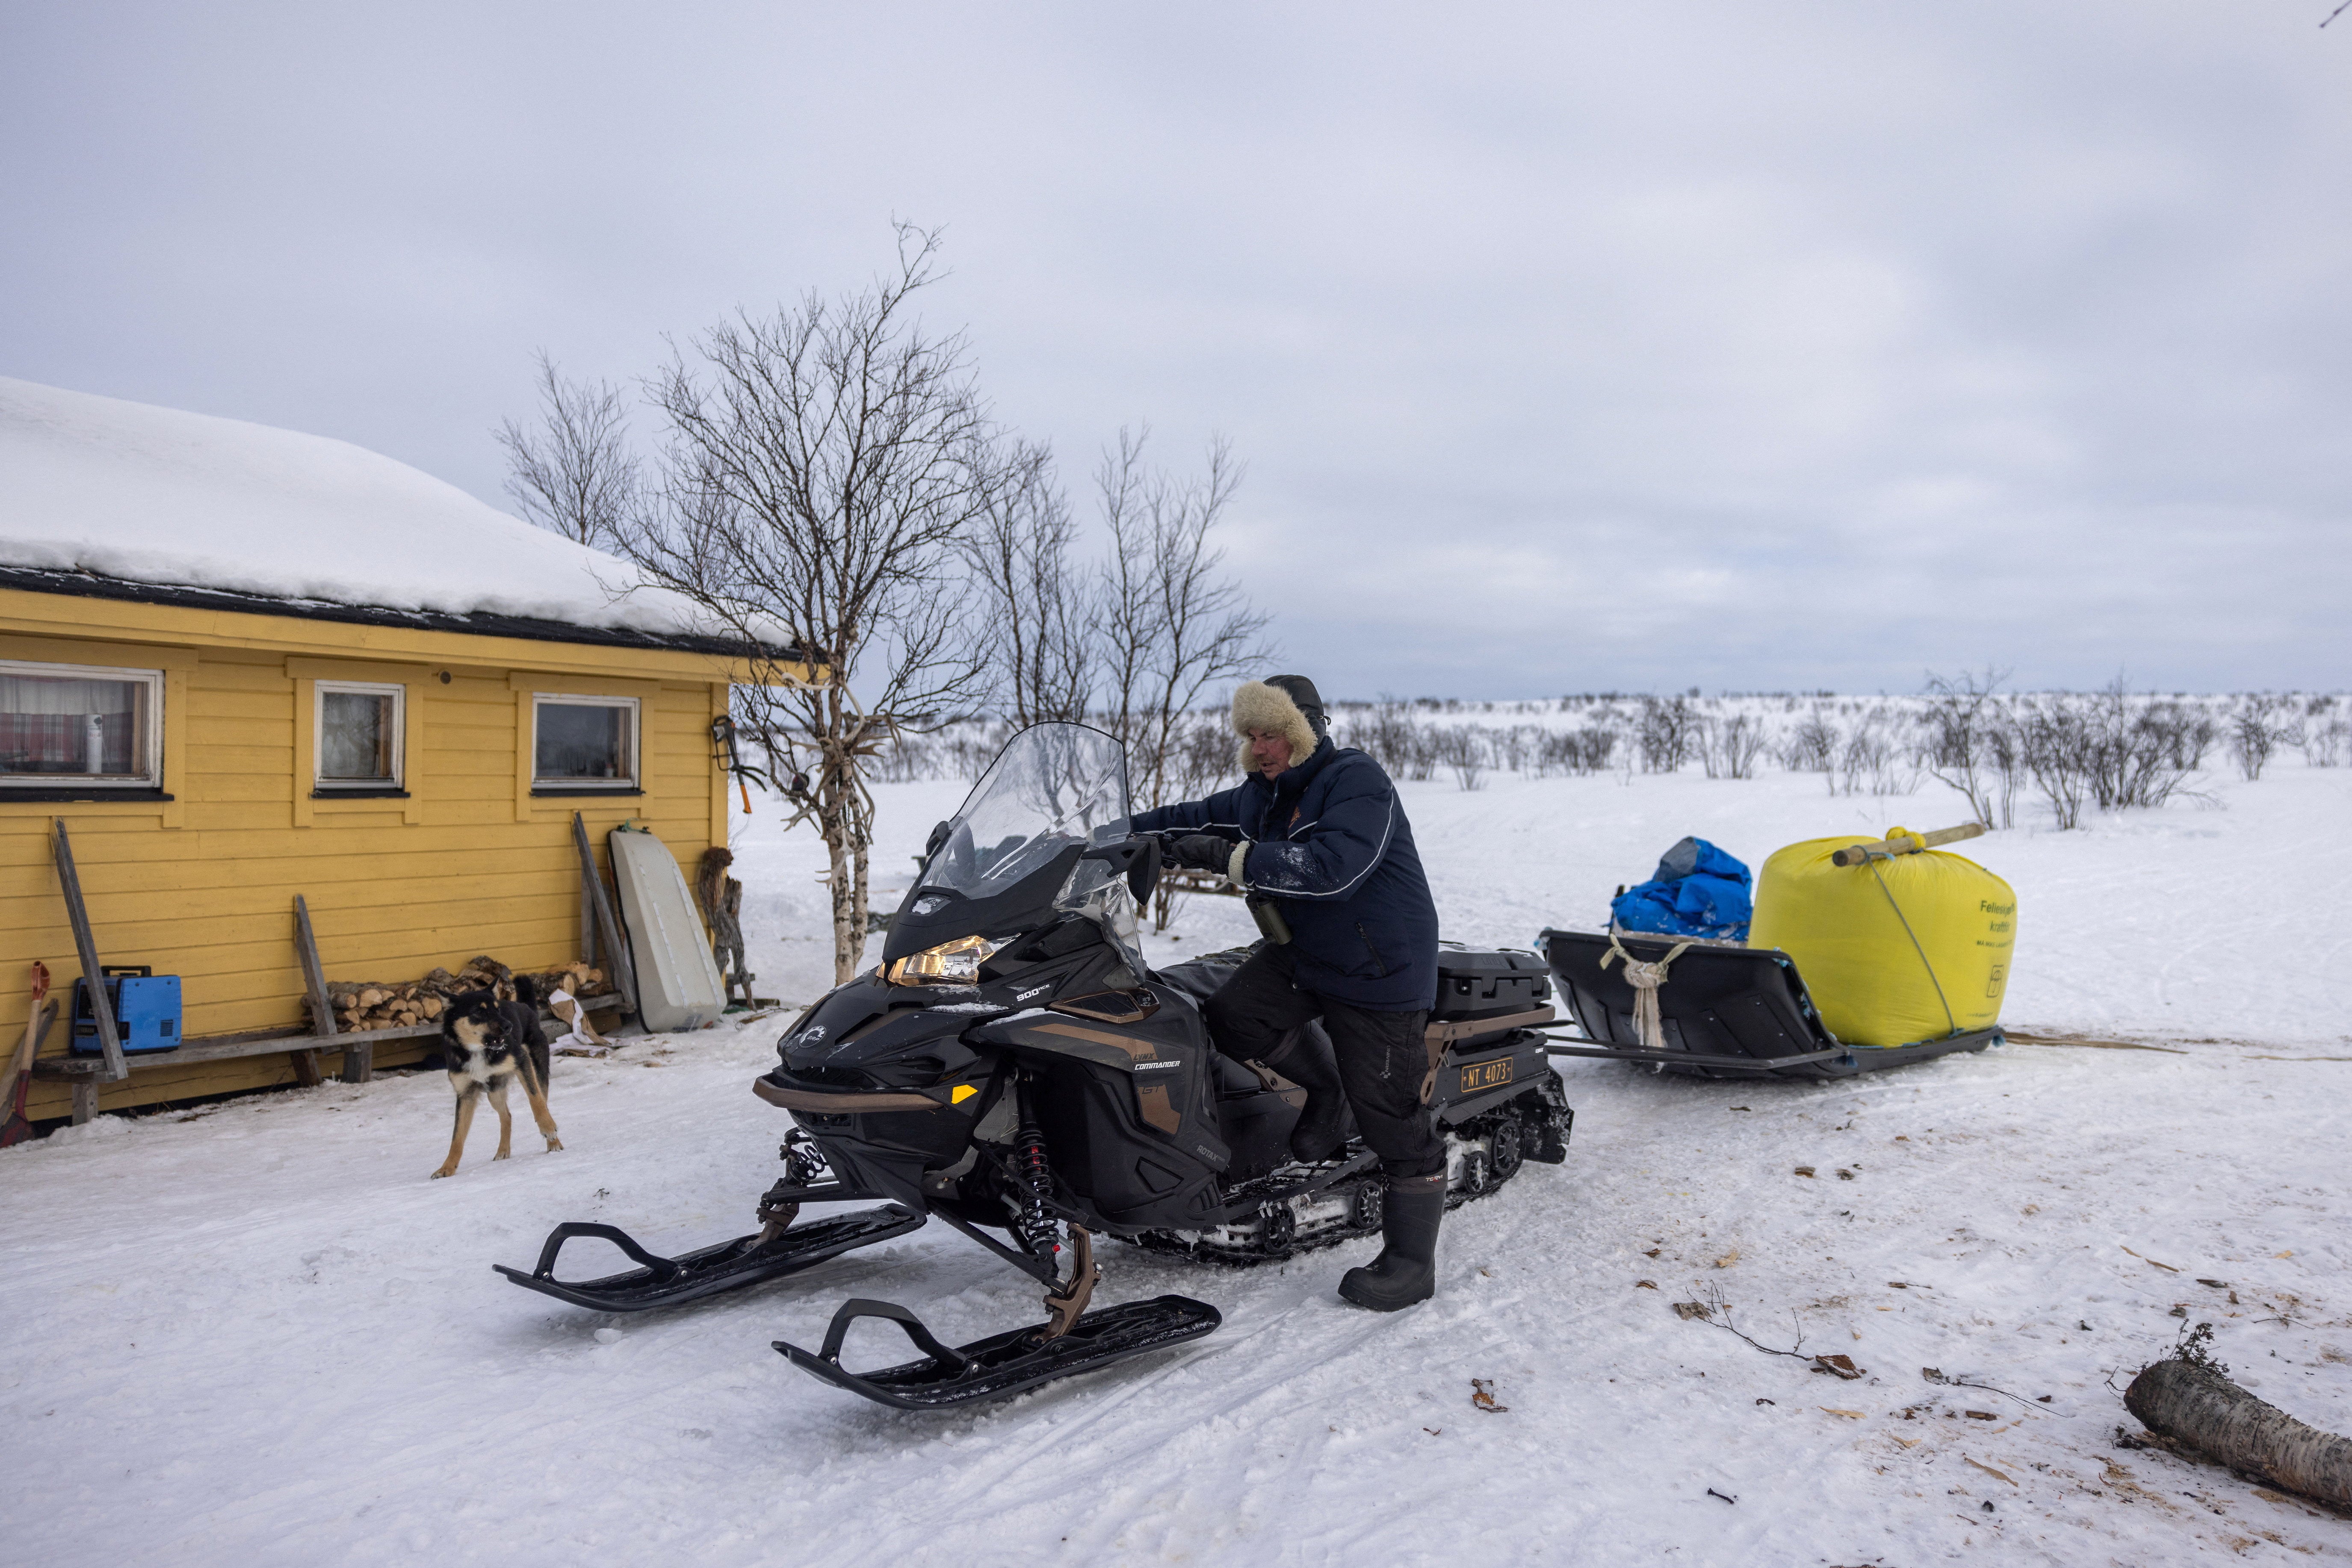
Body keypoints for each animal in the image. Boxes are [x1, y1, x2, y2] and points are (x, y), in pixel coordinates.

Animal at [435, 973, 562, 1184]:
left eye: (498, 1009)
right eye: (479, 1012)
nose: (508, 1026)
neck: (478, 1051)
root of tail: (526, 1007)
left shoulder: (522, 1063)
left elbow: (535, 1100)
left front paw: (548, 1128)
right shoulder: (466, 1093)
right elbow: (457, 1136)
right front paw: (447, 1168)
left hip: (538, 1069)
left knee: (543, 1101)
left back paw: (553, 1142)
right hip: (494, 1091)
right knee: (507, 1116)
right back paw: (503, 1150)